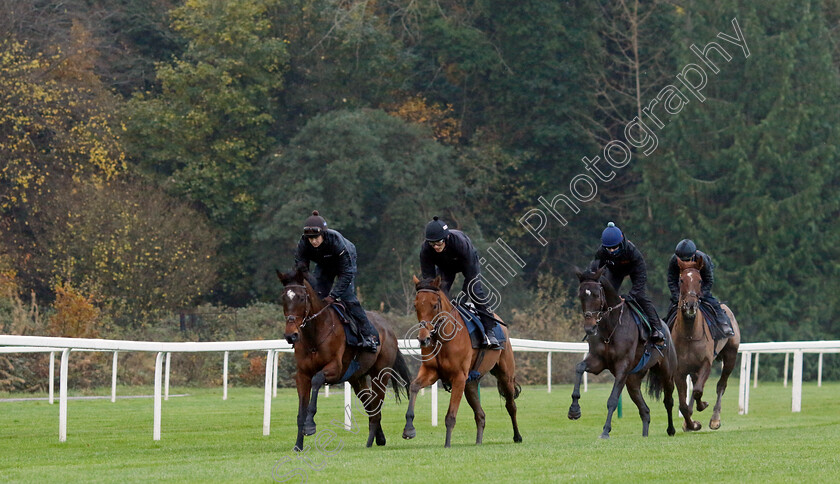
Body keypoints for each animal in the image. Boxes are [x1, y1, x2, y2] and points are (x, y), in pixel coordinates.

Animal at [278, 268, 410, 450]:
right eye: (283, 298)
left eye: (301, 297)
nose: (291, 335)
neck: (314, 336)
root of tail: (389, 328)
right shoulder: (302, 375)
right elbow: (300, 412)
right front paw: (298, 445)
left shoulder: (336, 369)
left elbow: (317, 379)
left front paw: (310, 425)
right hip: (357, 378)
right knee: (370, 405)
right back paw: (380, 438)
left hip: (380, 374)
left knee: (376, 407)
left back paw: (370, 442)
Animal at [400, 276, 520, 446]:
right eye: (416, 305)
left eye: (434, 305)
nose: (424, 338)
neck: (444, 339)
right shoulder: (431, 372)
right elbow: (414, 386)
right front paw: (409, 429)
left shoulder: (458, 377)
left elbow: (451, 415)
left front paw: (447, 444)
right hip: (471, 383)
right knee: (480, 414)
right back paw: (478, 442)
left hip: (505, 374)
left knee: (511, 405)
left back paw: (517, 436)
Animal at [568, 266, 680, 440]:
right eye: (581, 295)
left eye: (597, 294)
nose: (589, 328)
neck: (610, 327)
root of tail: (665, 327)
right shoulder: (597, 361)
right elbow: (579, 367)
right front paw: (574, 409)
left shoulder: (622, 366)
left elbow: (613, 400)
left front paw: (605, 431)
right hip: (632, 380)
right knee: (645, 410)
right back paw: (645, 435)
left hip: (667, 372)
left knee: (668, 400)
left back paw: (671, 430)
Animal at [668, 258, 740, 432]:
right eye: (681, 280)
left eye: (700, 280)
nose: (690, 305)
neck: (689, 334)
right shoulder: (679, 371)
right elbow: (683, 404)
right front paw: (691, 424)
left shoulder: (706, 363)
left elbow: (698, 391)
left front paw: (702, 407)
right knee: (695, 384)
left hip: (731, 355)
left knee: (721, 385)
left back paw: (715, 419)